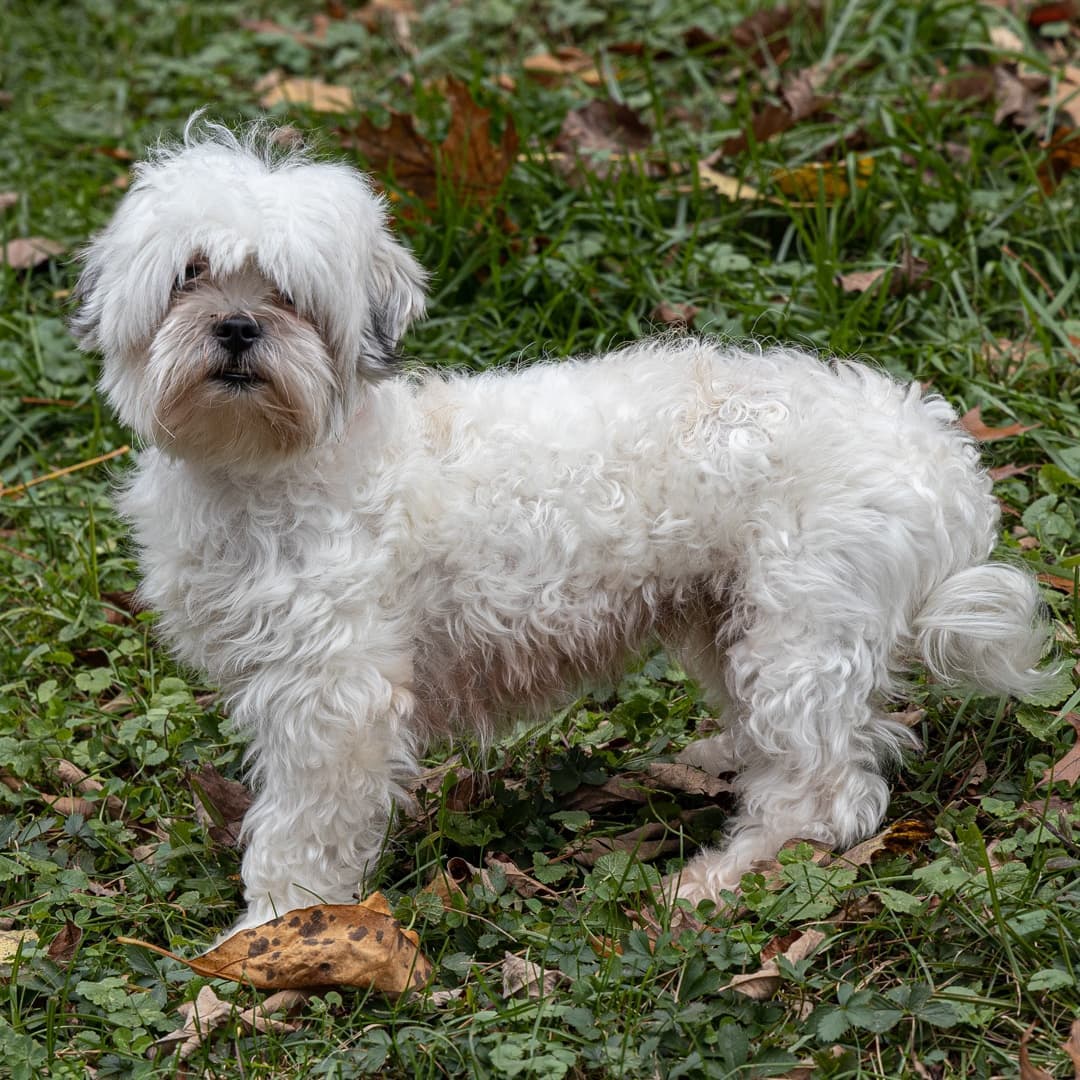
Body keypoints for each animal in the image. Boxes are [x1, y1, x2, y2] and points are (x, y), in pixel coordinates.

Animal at [71, 116, 1049, 928]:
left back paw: (721, 878)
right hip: (731, 616)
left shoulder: (335, 693)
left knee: (828, 792)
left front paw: (277, 931)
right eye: (190, 274)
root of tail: (937, 453)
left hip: (800, 626)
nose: (237, 327)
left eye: (287, 291)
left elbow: (304, 825)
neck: (270, 465)